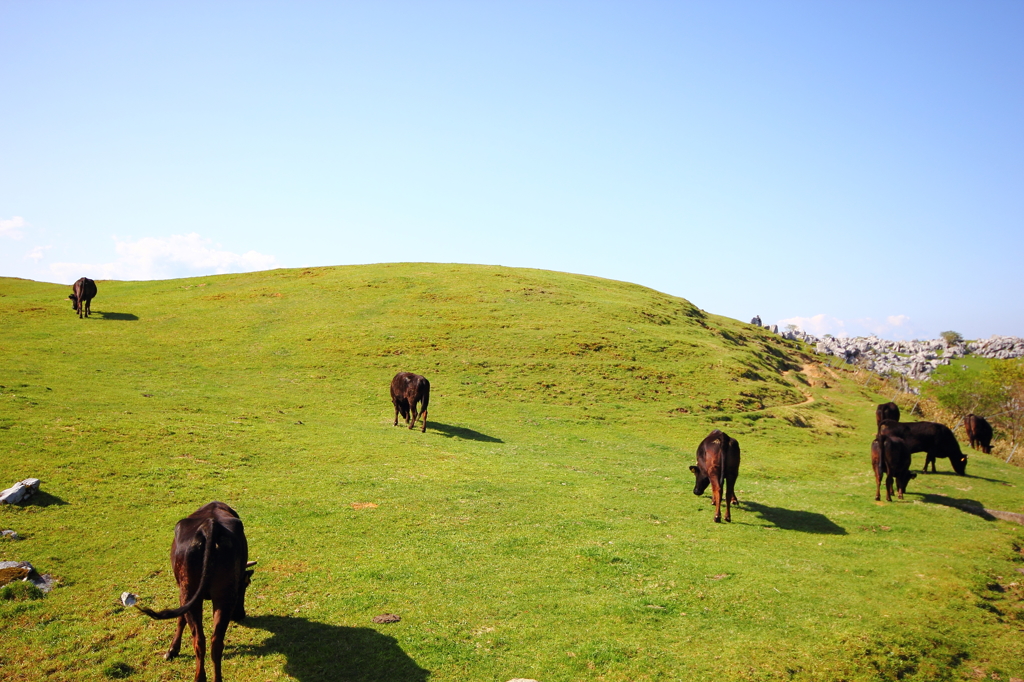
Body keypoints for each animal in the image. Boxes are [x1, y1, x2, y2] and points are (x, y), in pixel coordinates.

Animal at [132, 499, 256, 679]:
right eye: (245, 585)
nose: (241, 615)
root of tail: (210, 525)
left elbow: (180, 619)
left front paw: (173, 649)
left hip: (189, 592)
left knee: (198, 640)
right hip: (223, 597)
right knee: (214, 642)